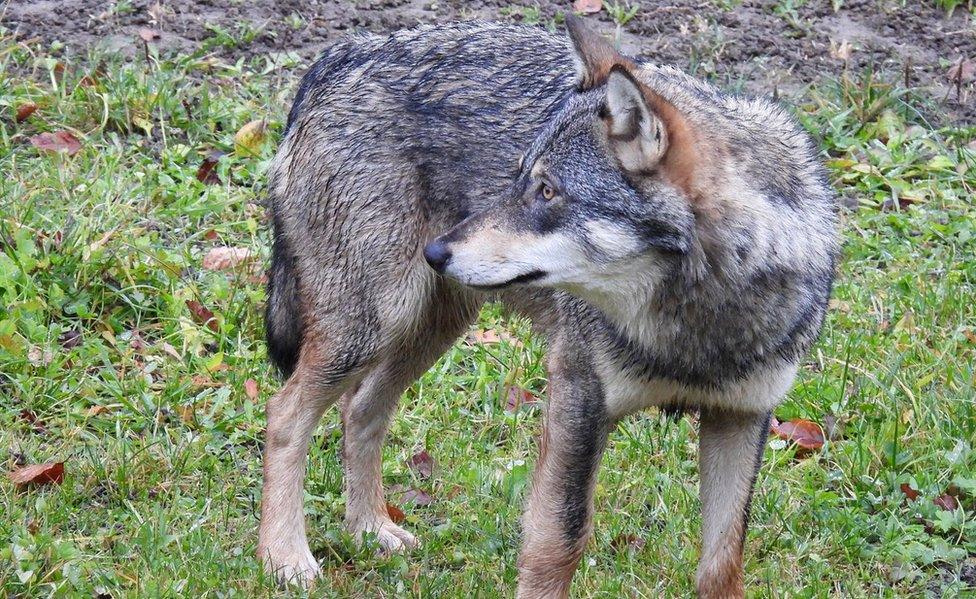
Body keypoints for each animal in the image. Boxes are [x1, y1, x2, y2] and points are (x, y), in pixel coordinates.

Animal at [260, 16, 840, 596]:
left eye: (545, 191)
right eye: (520, 178)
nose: (437, 252)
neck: (696, 327)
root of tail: (342, 53)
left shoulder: (740, 418)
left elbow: (722, 562)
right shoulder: (577, 400)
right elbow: (558, 541)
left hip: (427, 330)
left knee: (360, 411)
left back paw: (368, 529)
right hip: (372, 328)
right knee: (285, 414)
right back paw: (284, 556)